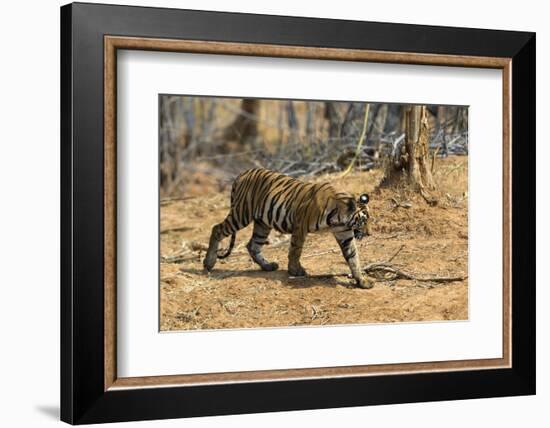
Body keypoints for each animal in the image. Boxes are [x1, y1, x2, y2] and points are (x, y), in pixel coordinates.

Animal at [204, 167, 376, 288]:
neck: (339, 219)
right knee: (217, 229)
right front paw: (295, 271)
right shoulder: (300, 226)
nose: (369, 234)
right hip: (242, 214)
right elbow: (295, 250)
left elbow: (353, 257)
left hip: (262, 223)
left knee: (252, 245)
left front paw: (362, 281)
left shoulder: (344, 233)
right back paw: (208, 263)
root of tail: (243, 173)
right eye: (363, 221)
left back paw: (268, 266)